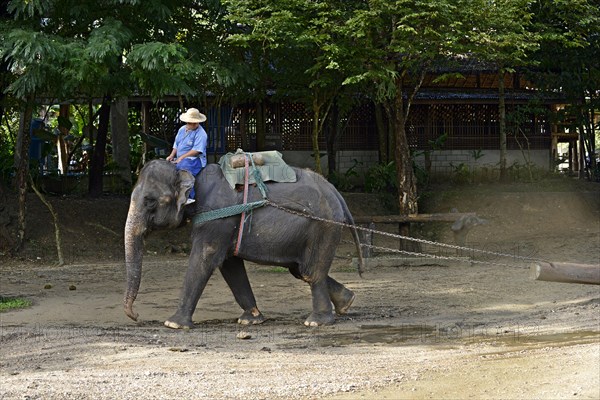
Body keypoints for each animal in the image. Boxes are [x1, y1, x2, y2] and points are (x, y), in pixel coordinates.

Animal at [124, 159, 364, 328]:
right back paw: (347, 302)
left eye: (150, 201)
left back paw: (316, 322)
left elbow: (204, 259)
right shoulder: (224, 225)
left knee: (311, 272)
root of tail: (337, 194)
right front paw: (251, 320)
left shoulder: (217, 220)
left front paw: (173, 324)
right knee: (301, 270)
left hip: (323, 226)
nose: (136, 316)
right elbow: (230, 265)